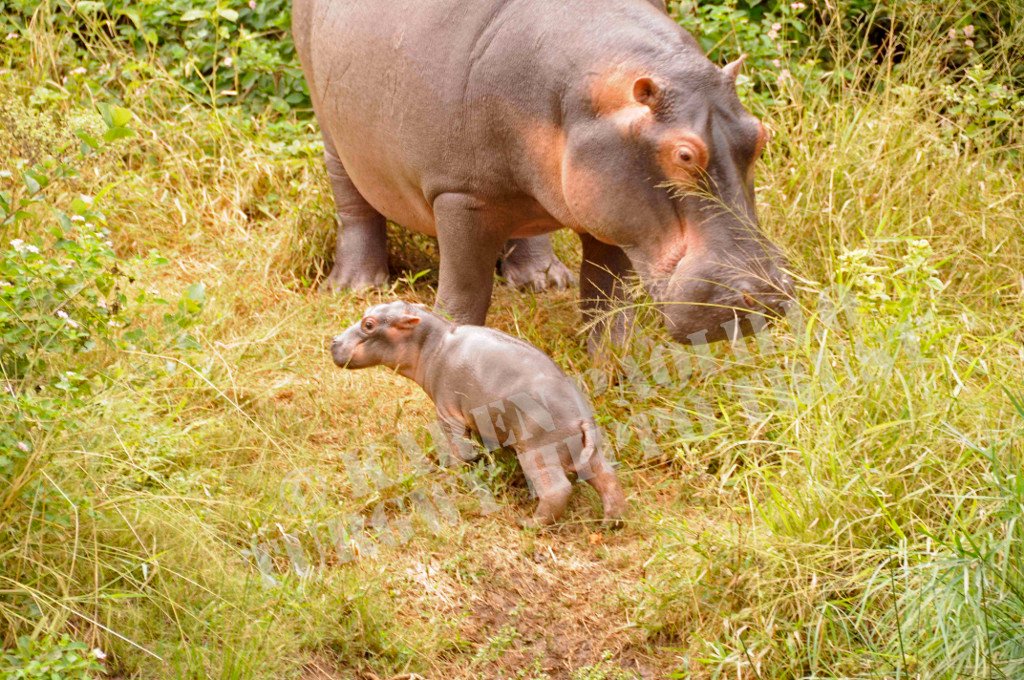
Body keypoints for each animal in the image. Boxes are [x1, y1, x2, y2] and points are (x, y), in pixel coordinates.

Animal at [294, 0, 793, 347]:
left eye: (760, 134)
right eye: (684, 154)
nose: (766, 293)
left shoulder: (611, 207)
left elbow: (607, 298)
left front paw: (613, 361)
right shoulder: (460, 196)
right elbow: (465, 291)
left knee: (526, 224)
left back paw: (542, 281)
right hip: (332, 127)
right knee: (353, 202)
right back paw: (355, 285)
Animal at [331, 301, 627, 527]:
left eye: (368, 324)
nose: (333, 341)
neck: (432, 342)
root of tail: (582, 419)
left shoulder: (448, 414)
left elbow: (458, 450)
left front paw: (452, 475)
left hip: (538, 450)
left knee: (556, 489)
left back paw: (528, 524)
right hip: (588, 452)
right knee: (608, 479)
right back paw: (610, 523)